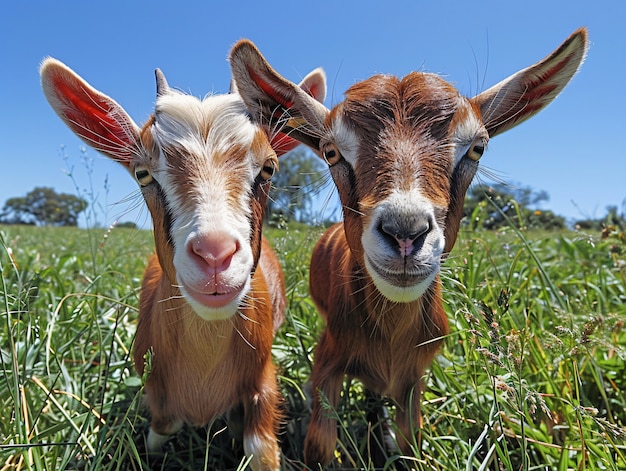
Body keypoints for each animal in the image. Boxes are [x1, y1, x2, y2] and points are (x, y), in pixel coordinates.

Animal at [40, 48, 324, 471]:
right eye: (142, 173)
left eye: (269, 167)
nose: (214, 254)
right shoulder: (153, 386)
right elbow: (162, 428)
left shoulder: (264, 380)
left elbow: (259, 448)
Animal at [229, 30, 584, 468]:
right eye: (331, 152)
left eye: (477, 148)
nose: (404, 232)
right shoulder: (329, 358)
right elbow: (320, 444)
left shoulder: (415, 375)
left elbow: (411, 440)